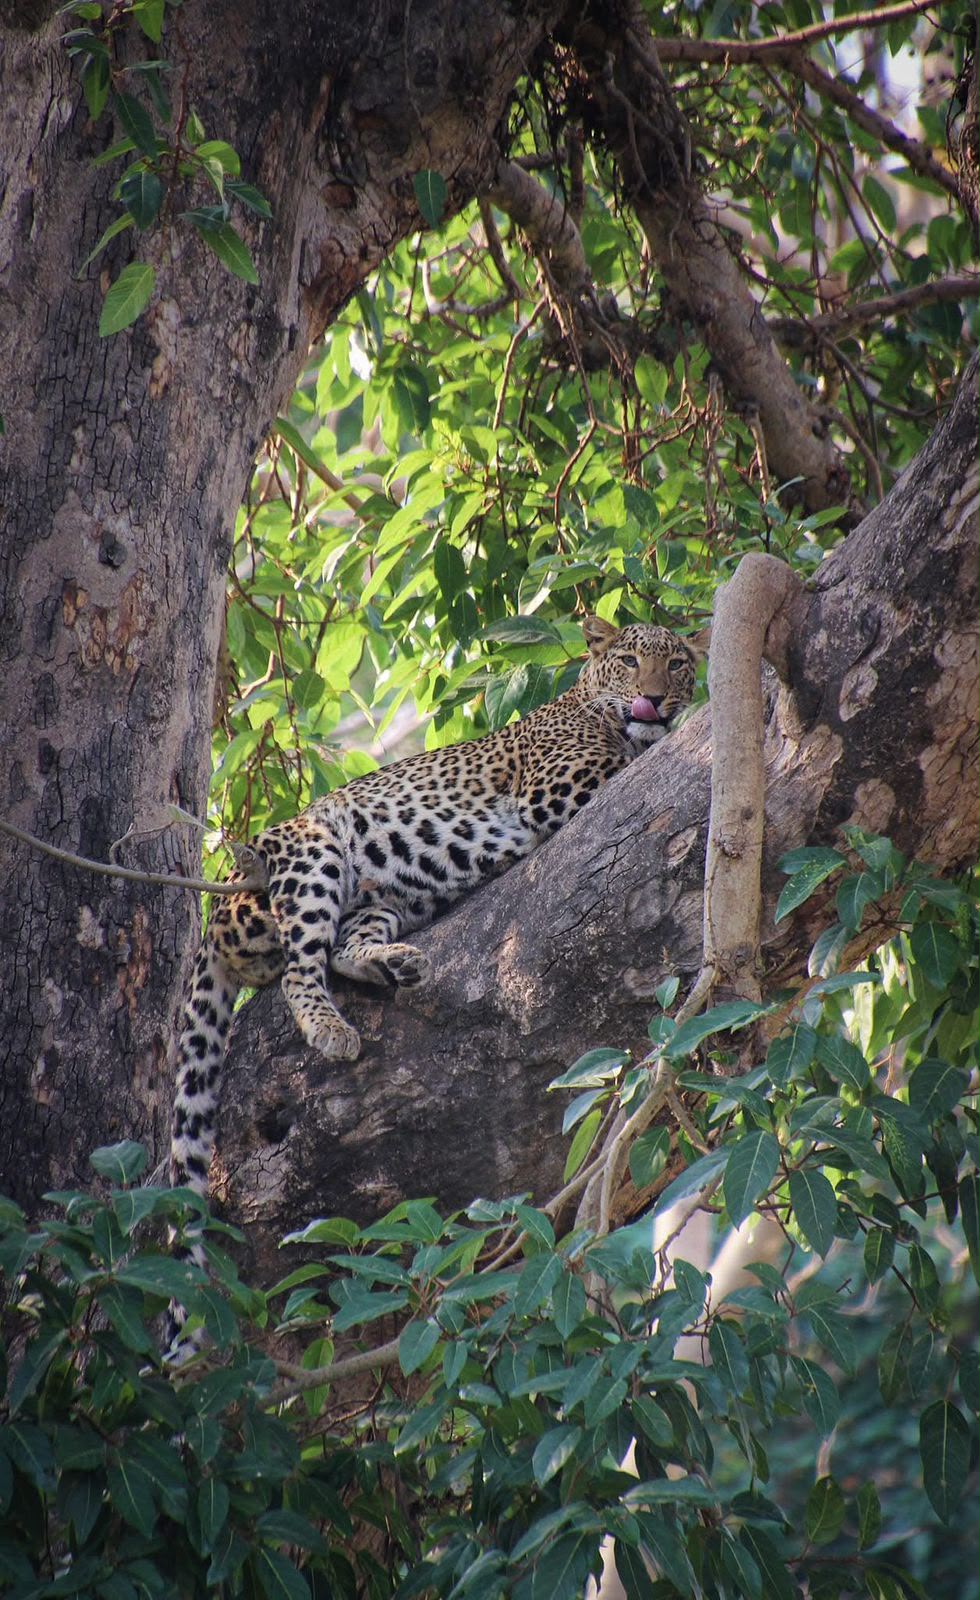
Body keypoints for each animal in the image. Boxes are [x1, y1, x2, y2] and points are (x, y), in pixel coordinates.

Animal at [169, 614, 701, 1199]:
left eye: (677, 664)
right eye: (630, 661)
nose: (656, 698)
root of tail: (223, 900)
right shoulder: (554, 790)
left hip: (381, 901)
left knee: (341, 949)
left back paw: (397, 963)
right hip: (311, 852)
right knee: (298, 966)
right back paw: (331, 1027)